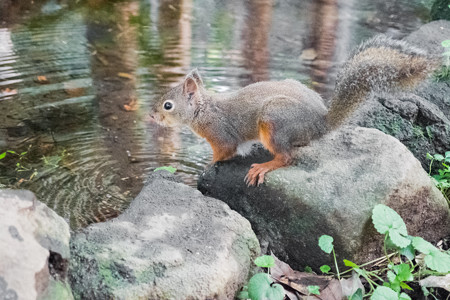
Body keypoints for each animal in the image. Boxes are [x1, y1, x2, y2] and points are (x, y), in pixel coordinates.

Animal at [151, 35, 440, 185]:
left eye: (168, 105)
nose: (151, 116)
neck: (203, 111)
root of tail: (320, 124)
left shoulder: (220, 135)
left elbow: (224, 152)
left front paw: (207, 166)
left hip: (274, 120)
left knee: (287, 157)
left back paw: (264, 166)